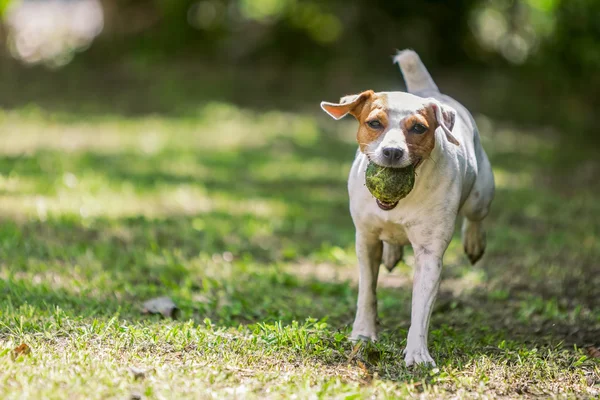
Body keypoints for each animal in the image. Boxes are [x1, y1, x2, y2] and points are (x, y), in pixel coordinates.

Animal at [322, 49, 494, 366]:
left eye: (418, 128)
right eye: (374, 123)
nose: (392, 151)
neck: (398, 203)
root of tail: (430, 91)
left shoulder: (429, 252)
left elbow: (421, 309)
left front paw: (417, 354)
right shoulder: (365, 239)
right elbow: (367, 292)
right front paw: (363, 334)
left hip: (481, 195)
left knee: (476, 216)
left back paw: (475, 242)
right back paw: (391, 253)